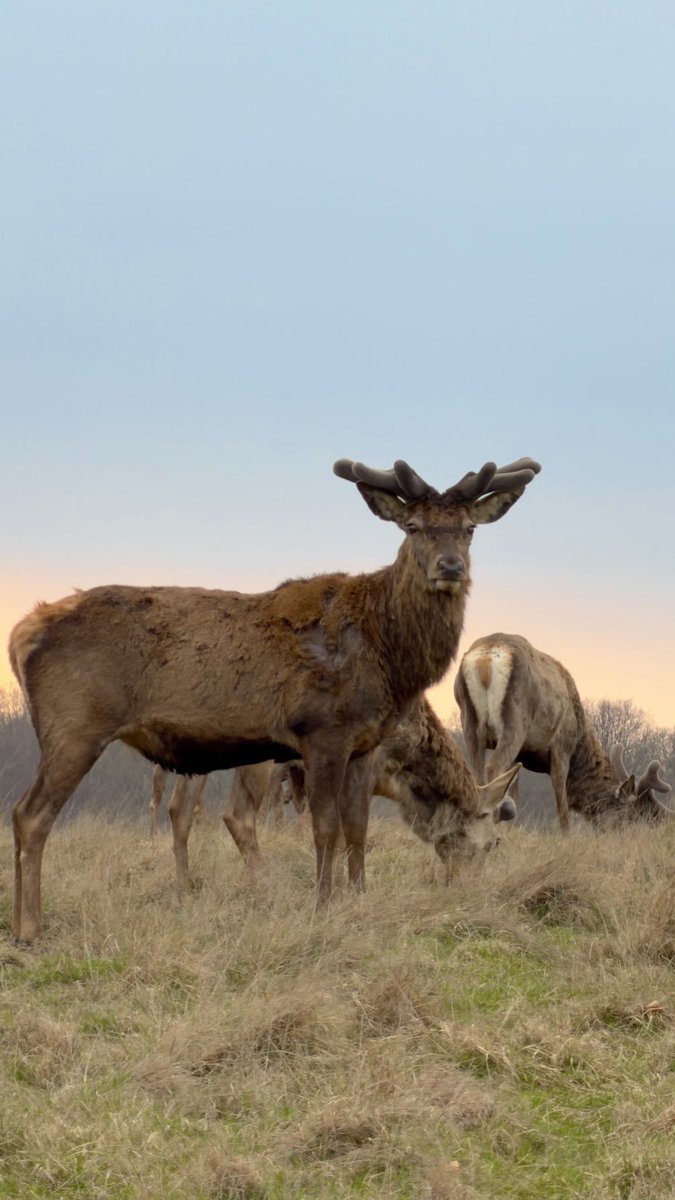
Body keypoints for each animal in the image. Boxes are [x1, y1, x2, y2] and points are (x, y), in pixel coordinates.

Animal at [9, 454, 540, 941]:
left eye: (469, 529)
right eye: (413, 526)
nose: (450, 567)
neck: (389, 659)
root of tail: (21, 633)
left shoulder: (362, 744)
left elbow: (356, 828)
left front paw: (357, 897)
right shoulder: (323, 732)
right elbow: (326, 827)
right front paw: (322, 906)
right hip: (75, 724)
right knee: (31, 815)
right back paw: (29, 928)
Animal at [454, 632, 672, 831]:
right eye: (629, 814)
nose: (624, 834)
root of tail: (485, 658)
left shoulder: (521, 755)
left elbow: (515, 792)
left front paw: (509, 832)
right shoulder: (562, 746)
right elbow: (562, 803)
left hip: (469, 722)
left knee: (477, 773)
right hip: (515, 720)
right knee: (493, 767)